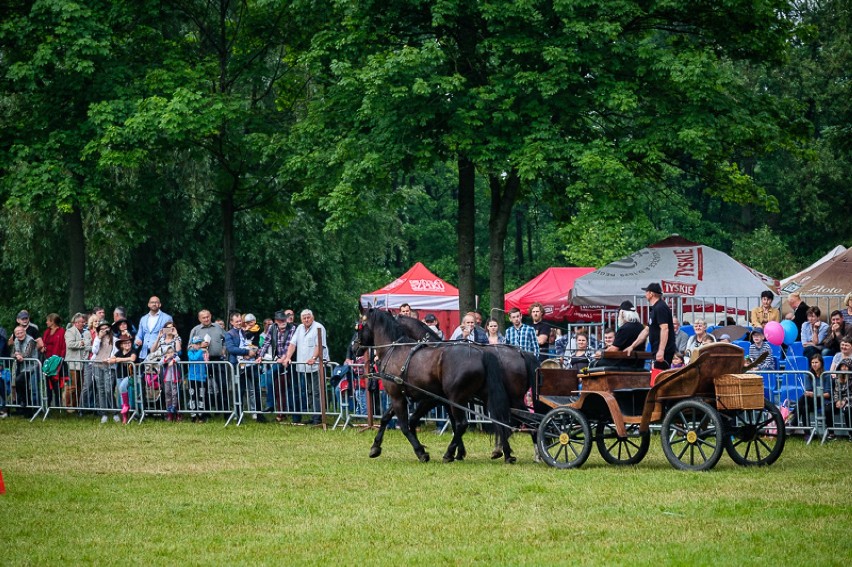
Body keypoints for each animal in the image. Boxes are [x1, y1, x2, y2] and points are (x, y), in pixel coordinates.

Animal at [354, 308, 512, 464]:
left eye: (358, 327)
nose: (354, 347)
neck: (394, 351)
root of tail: (481, 354)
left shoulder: (399, 396)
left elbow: (405, 426)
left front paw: (421, 452)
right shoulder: (409, 396)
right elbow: (387, 417)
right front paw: (375, 447)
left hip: (457, 398)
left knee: (462, 424)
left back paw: (448, 453)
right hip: (485, 396)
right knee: (499, 419)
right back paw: (507, 453)